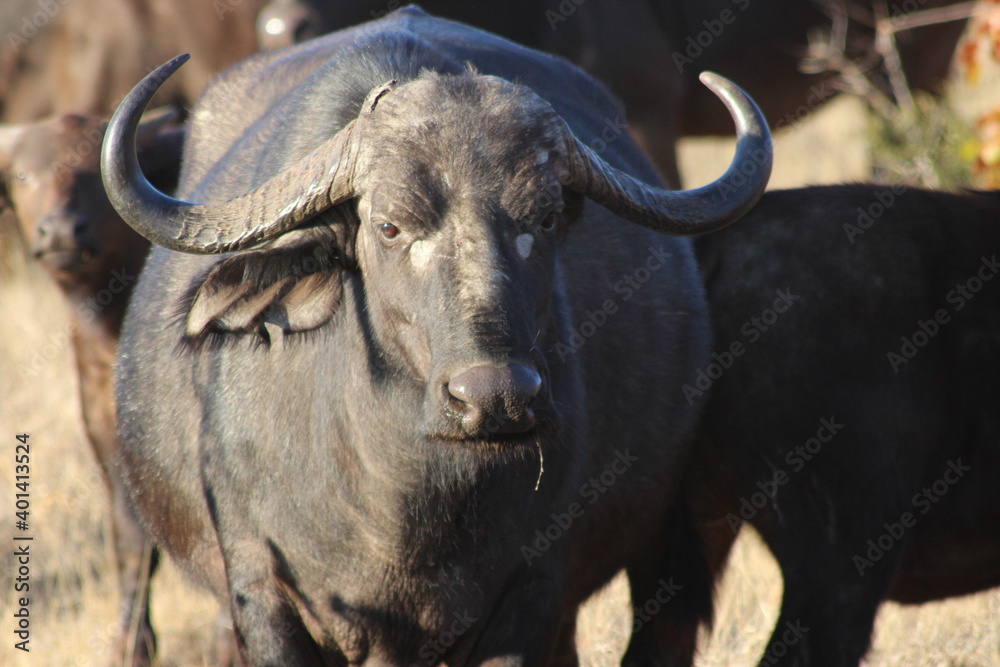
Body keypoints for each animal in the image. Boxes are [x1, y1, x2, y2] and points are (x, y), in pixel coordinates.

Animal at [102, 7, 771, 664]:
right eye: (389, 226)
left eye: (547, 217)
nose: (495, 396)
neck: (405, 504)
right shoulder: (260, 589)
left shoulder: (533, 590)